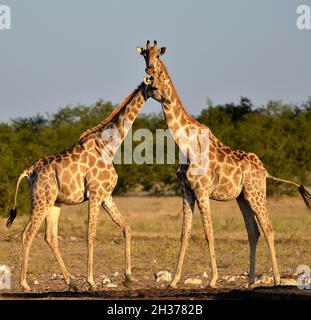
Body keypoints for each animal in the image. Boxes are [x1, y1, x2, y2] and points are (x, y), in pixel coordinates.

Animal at [5, 80, 151, 292]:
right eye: (155, 84)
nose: (166, 95)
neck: (108, 147)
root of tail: (29, 171)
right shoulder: (96, 194)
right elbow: (91, 234)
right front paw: (92, 282)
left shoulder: (107, 195)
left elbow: (126, 227)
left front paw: (128, 278)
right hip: (41, 199)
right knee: (28, 233)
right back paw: (24, 284)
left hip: (54, 202)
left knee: (50, 237)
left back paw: (71, 282)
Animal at [138, 40, 311, 288]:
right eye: (145, 56)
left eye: (158, 61)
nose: (149, 71)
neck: (185, 145)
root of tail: (265, 171)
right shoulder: (186, 191)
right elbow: (185, 233)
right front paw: (174, 281)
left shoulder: (202, 191)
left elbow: (209, 233)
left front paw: (212, 280)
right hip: (243, 197)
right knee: (253, 232)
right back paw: (250, 282)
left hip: (256, 192)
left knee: (268, 229)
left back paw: (277, 279)